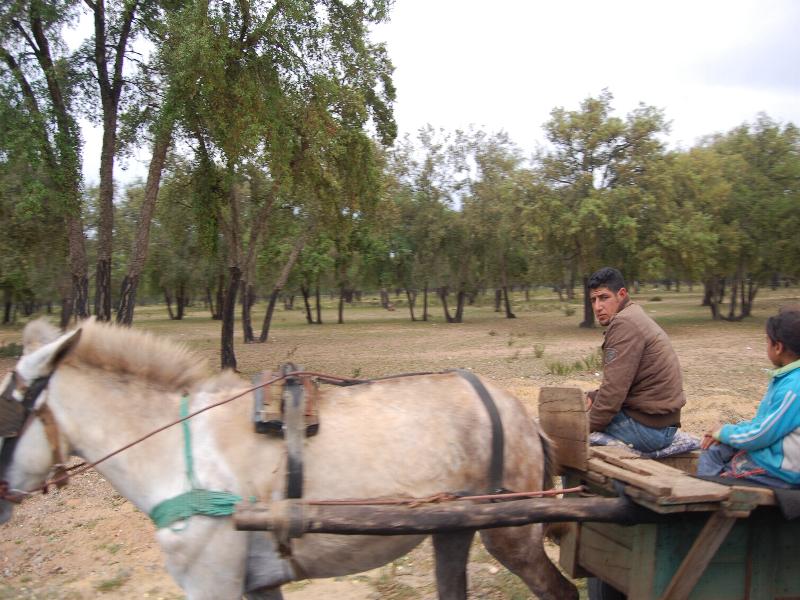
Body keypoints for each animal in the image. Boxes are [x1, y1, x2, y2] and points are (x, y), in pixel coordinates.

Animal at [0, 316, 576, 596]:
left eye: (6, 407)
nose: (3, 497)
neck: (180, 452)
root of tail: (517, 412)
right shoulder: (258, 582)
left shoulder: (213, 584)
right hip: (453, 527)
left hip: (512, 535)